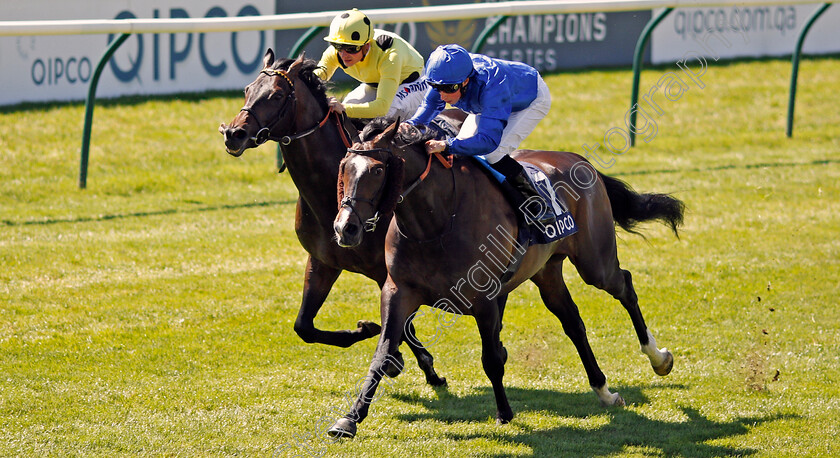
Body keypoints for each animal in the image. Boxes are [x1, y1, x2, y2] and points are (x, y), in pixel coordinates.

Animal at [217, 50, 452, 384]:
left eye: (276, 95)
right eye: (247, 89)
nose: (233, 134)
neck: (330, 191)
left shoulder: (388, 270)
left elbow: (402, 325)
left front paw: (420, 366)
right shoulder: (322, 261)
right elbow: (304, 326)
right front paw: (371, 334)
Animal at [328, 117, 684, 436]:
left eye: (377, 170)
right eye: (343, 167)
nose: (346, 228)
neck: (435, 223)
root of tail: (581, 161)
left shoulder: (485, 299)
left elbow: (490, 359)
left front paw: (504, 413)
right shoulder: (398, 291)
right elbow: (383, 352)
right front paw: (350, 419)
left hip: (595, 262)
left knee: (624, 285)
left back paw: (658, 358)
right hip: (547, 270)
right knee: (573, 322)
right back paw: (604, 391)